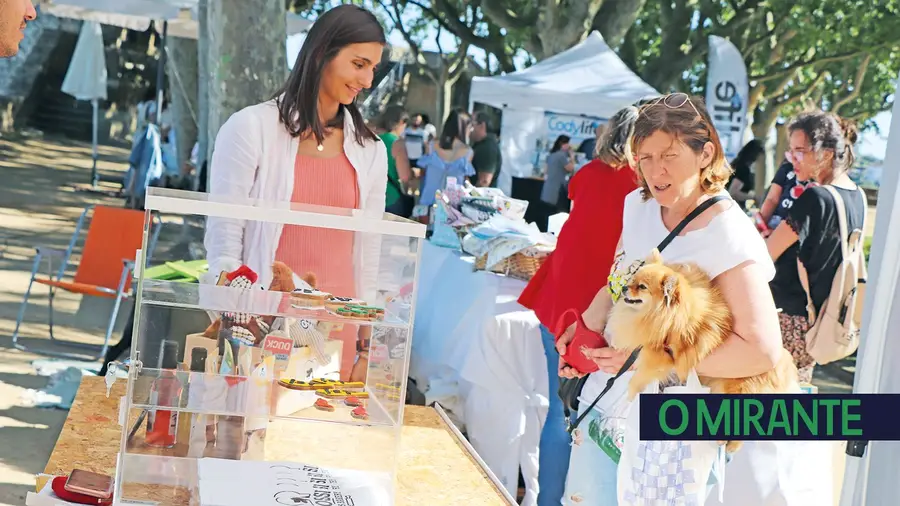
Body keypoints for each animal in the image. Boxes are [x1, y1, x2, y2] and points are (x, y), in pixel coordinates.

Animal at [608, 251, 800, 452]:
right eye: (632, 279)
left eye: (641, 287)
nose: (624, 288)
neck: (663, 316)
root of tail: (784, 367)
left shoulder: (658, 359)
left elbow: (636, 383)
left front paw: (625, 402)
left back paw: (728, 444)